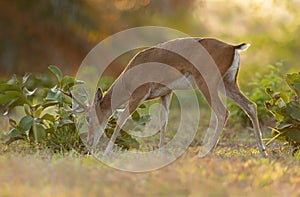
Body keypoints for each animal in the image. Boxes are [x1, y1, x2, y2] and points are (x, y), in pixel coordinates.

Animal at [86, 37, 268, 157]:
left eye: (87, 117)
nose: (89, 142)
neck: (127, 80)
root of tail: (232, 48)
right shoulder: (166, 93)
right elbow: (163, 121)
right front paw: (160, 152)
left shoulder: (139, 93)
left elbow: (122, 118)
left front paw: (106, 152)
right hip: (229, 82)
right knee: (250, 105)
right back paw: (262, 151)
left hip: (207, 82)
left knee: (223, 112)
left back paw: (207, 151)